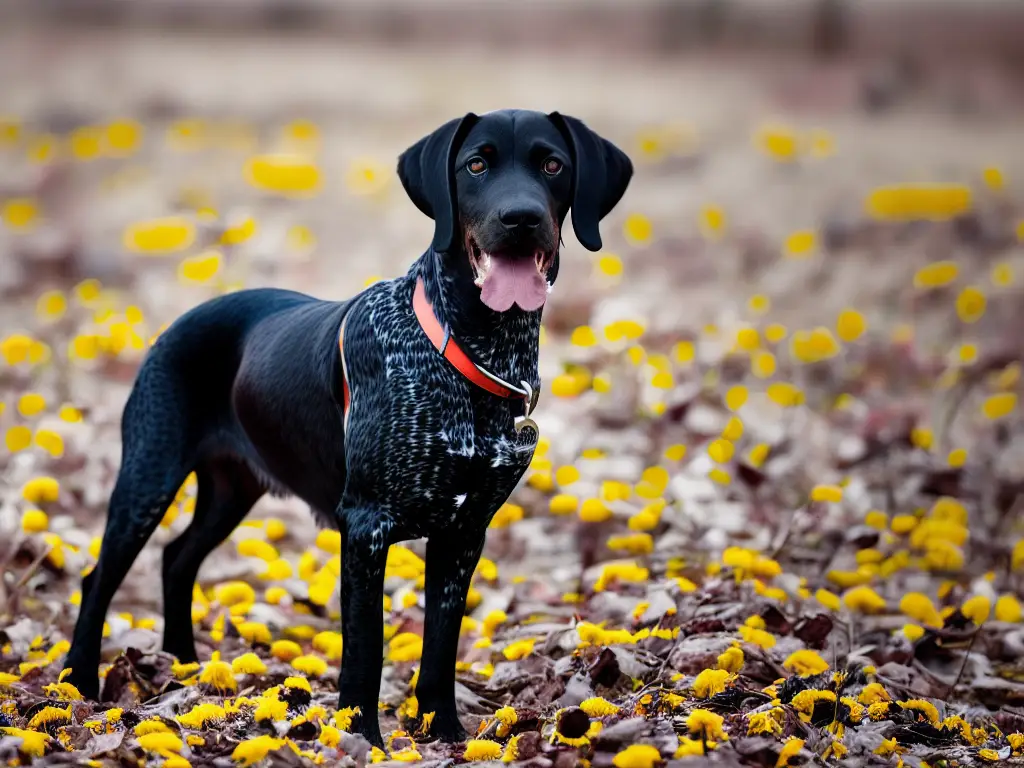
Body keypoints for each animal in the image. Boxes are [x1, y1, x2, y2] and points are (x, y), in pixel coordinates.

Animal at [64, 111, 630, 749]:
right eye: (476, 165)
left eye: (553, 165)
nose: (521, 218)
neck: (475, 348)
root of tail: (180, 320)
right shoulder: (365, 528)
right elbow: (366, 648)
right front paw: (363, 739)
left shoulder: (464, 533)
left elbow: (441, 645)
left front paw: (445, 732)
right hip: (149, 473)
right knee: (100, 576)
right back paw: (78, 681)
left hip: (233, 489)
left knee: (176, 558)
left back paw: (183, 665)